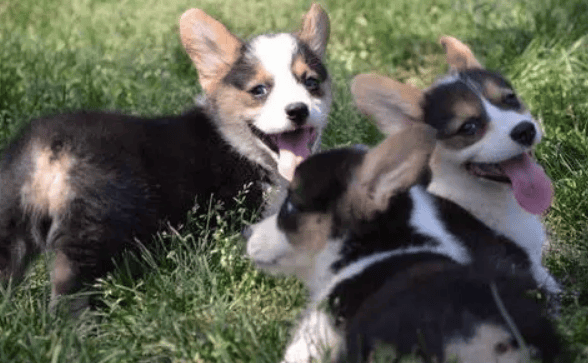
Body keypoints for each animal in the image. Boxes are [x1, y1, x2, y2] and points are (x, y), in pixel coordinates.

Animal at [0, 3, 330, 316]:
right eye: (259, 90)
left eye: (311, 83)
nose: (298, 110)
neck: (237, 144)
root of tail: (47, 144)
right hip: (93, 225)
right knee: (70, 285)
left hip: (13, 216)